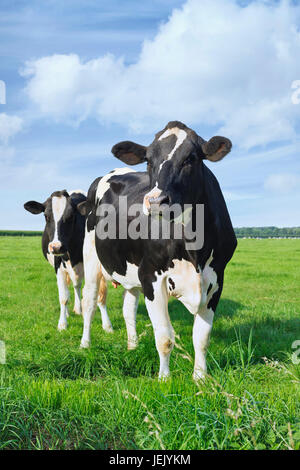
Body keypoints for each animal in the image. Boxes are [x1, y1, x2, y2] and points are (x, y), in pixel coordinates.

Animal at [24, 189, 113, 332]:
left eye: (71, 216)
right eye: (46, 216)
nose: (56, 247)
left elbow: (101, 296)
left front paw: (107, 325)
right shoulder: (58, 267)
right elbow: (63, 297)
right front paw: (62, 324)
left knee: (77, 285)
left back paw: (78, 309)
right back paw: (67, 312)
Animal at [79, 123, 237, 380]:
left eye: (190, 158)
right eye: (148, 161)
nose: (155, 201)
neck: (194, 248)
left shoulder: (216, 280)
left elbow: (202, 338)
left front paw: (200, 378)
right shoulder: (150, 275)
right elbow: (164, 337)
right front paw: (164, 378)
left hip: (130, 270)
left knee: (128, 308)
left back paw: (132, 346)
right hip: (92, 257)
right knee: (89, 301)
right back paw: (85, 344)